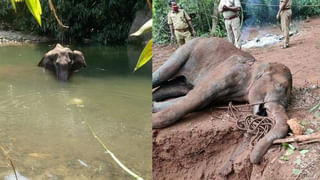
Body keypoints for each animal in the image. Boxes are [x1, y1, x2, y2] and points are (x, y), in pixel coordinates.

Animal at [152, 37, 292, 164]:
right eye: (280, 86)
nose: (253, 158)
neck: (257, 65)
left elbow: (199, 102)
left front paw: (154, 107)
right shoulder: (229, 70)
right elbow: (197, 97)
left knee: (175, 87)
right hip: (186, 49)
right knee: (161, 75)